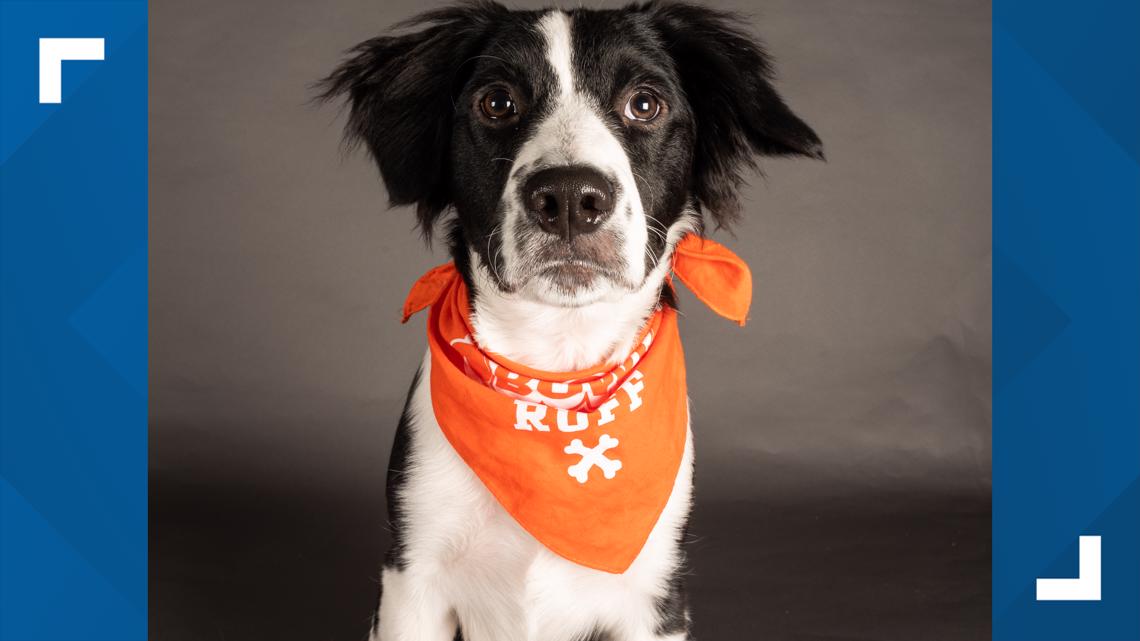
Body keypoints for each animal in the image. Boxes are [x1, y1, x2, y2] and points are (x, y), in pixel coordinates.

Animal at [321, 2, 820, 634]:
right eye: (497, 102)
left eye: (645, 103)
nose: (568, 199)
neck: (557, 370)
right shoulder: (413, 577)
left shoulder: (656, 593)